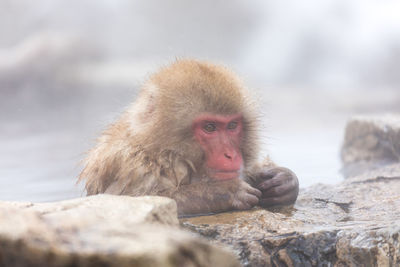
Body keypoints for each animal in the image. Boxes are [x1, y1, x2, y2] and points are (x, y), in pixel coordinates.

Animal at [79, 59, 296, 217]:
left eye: (232, 126)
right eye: (209, 127)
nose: (231, 155)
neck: (161, 152)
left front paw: (284, 180)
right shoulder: (130, 165)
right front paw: (222, 192)